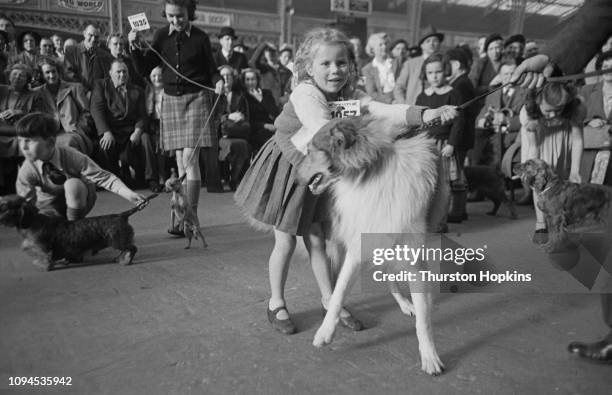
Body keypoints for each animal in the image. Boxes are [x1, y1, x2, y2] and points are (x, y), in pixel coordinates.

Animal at [0, 193, 155, 270]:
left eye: (4, 206)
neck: (33, 221)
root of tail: (122, 215)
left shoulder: (42, 247)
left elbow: (44, 256)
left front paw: (43, 265)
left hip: (117, 241)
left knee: (132, 248)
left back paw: (126, 261)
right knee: (128, 249)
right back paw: (120, 258)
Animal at [302, 116, 450, 376]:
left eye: (310, 151)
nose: (296, 176)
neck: (370, 171)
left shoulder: (412, 256)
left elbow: (423, 321)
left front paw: (430, 356)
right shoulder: (357, 249)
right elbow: (338, 292)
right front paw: (325, 332)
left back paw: (409, 304)